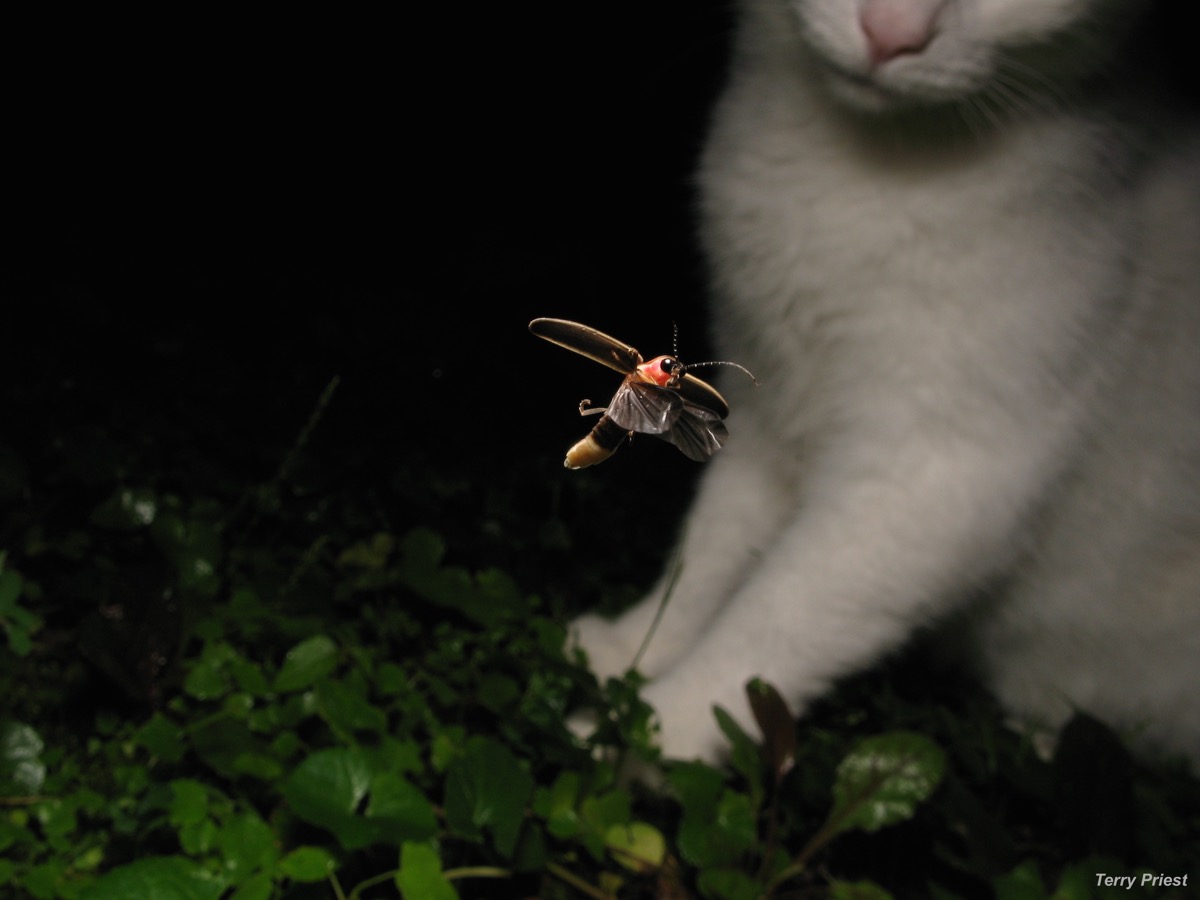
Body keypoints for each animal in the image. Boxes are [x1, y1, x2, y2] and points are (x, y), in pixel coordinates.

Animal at [571, 0, 1200, 763]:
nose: (890, 32)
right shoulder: (765, 418)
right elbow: (707, 561)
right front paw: (631, 651)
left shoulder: (937, 476)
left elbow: (775, 620)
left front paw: (647, 733)